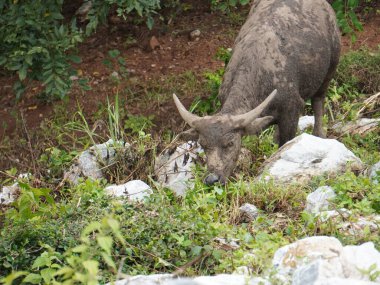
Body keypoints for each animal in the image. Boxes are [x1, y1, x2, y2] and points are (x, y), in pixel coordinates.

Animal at [172, 0, 342, 184]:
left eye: (230, 143)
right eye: (203, 144)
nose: (212, 179)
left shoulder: (292, 109)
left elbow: (286, 141)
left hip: (330, 68)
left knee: (319, 100)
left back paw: (319, 133)